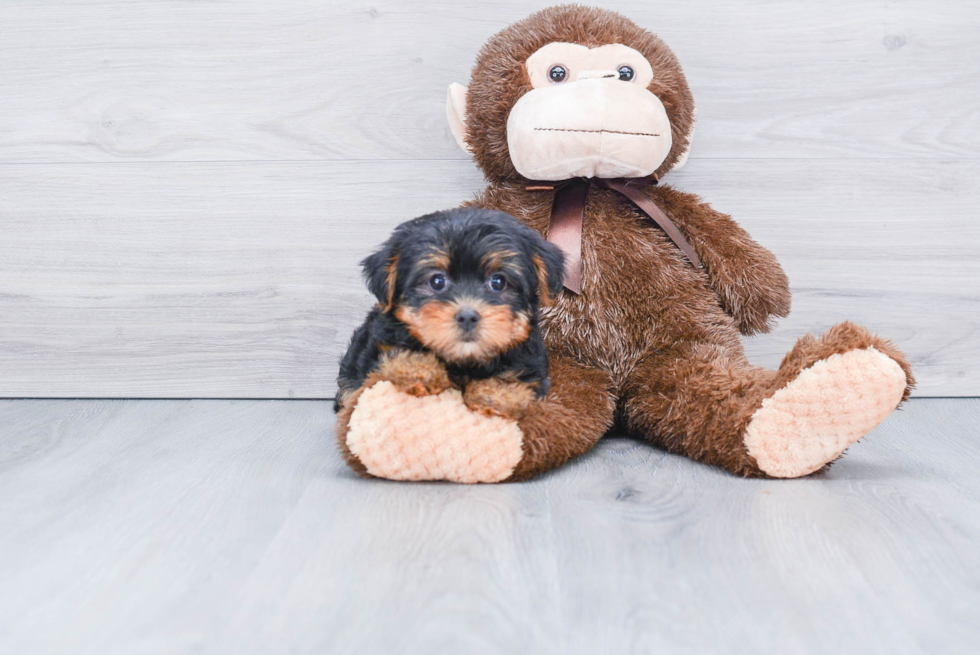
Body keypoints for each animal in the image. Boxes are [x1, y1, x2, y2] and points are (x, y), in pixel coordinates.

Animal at [336, 206, 568, 420]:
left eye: (498, 282)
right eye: (437, 281)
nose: (467, 317)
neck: (463, 361)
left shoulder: (532, 366)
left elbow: (519, 379)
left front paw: (495, 394)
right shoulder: (380, 343)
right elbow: (395, 352)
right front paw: (419, 370)